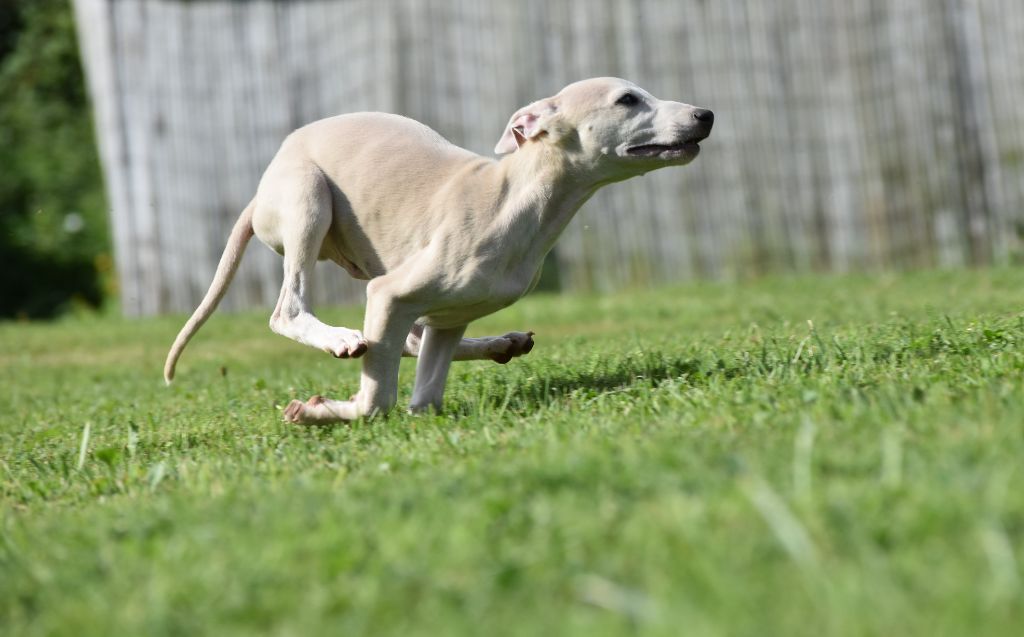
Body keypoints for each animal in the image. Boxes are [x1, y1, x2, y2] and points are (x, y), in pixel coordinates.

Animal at [163, 77, 713, 423]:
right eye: (627, 99)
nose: (705, 113)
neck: (514, 198)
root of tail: (260, 192)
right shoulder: (391, 293)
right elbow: (377, 402)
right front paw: (320, 412)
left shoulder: (448, 315)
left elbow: (422, 398)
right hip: (308, 199)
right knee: (290, 309)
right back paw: (340, 339)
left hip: (370, 261)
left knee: (407, 338)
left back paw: (500, 344)